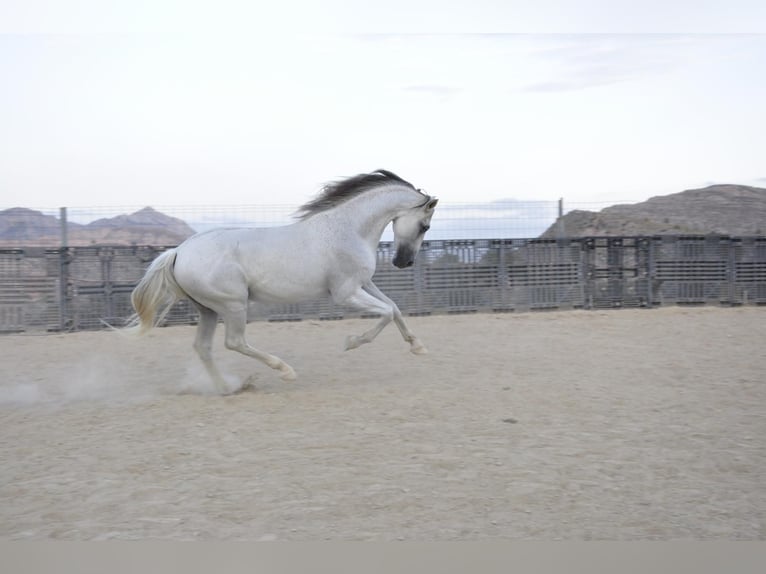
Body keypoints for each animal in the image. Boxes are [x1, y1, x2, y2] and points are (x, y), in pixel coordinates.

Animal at [127, 170, 438, 396]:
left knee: (203, 347)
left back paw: (228, 388)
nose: (403, 262)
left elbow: (394, 308)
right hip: (233, 305)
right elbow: (385, 313)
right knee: (234, 342)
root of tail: (178, 252)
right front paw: (352, 342)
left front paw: (418, 346)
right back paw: (284, 371)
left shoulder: (364, 284)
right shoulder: (346, 292)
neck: (348, 230)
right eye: (425, 226)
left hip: (209, 310)